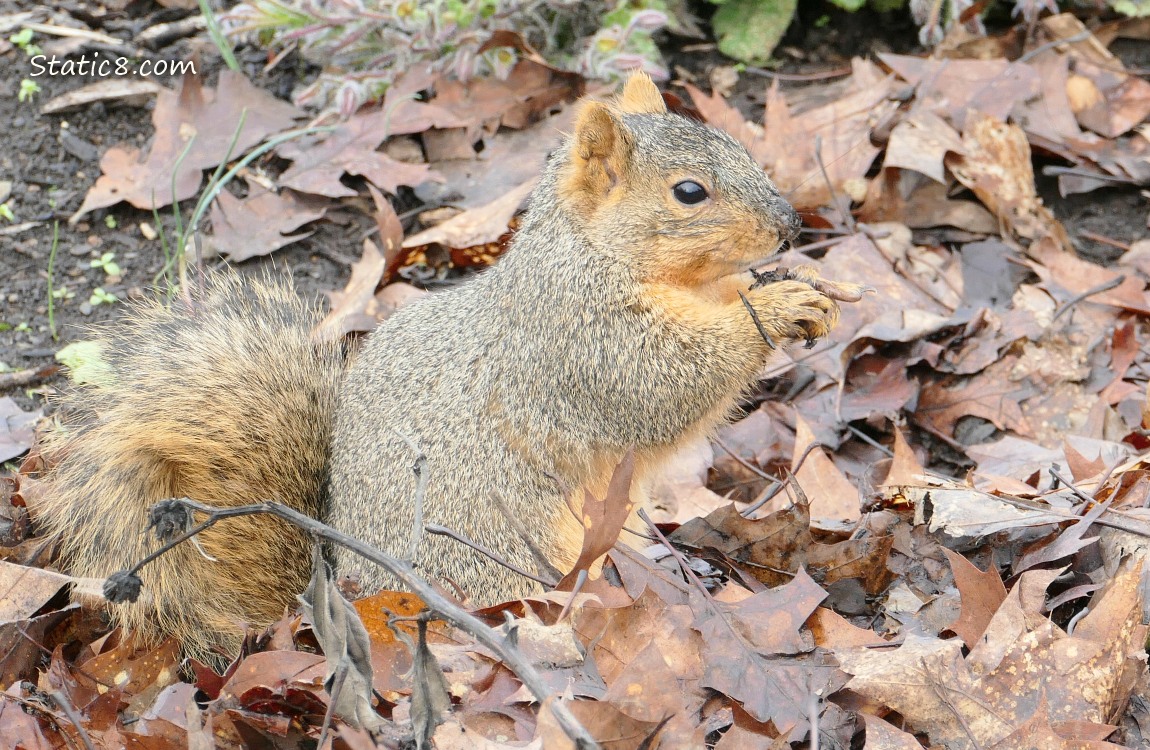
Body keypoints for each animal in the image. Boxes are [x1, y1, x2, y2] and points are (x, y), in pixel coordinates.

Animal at [29, 74, 864, 662]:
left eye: (740, 148)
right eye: (689, 192)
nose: (791, 226)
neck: (602, 258)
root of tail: (351, 587)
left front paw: (817, 291)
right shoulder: (583, 343)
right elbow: (666, 383)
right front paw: (778, 305)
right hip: (507, 556)